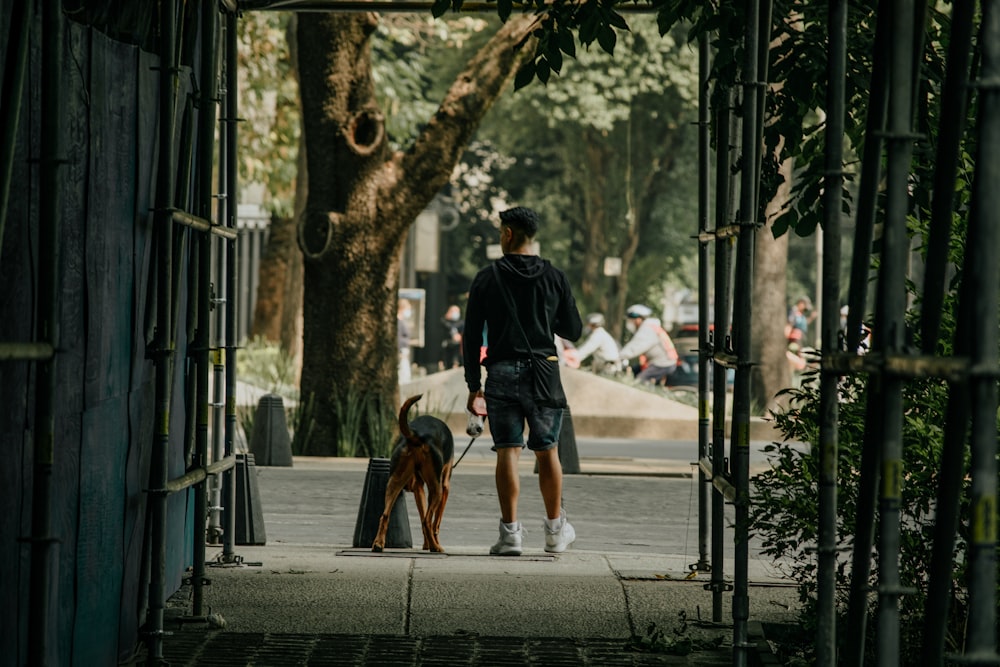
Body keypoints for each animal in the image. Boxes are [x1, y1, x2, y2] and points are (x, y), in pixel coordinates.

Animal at [372, 396, 458, 552]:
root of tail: (417, 435)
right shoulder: (444, 487)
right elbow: (435, 522)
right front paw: (432, 543)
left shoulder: (418, 488)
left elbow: (424, 517)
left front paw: (426, 544)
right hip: (437, 489)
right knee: (427, 521)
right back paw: (436, 547)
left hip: (394, 482)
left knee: (385, 515)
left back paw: (378, 544)